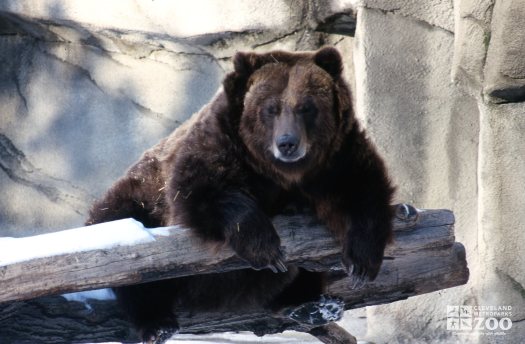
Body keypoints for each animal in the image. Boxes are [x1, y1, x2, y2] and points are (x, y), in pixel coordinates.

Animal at [86, 47, 392, 342]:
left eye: (306, 107)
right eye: (271, 108)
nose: (287, 143)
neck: (284, 173)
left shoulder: (337, 158)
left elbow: (363, 192)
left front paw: (362, 263)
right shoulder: (220, 142)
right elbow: (202, 190)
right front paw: (267, 249)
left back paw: (311, 305)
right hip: (140, 195)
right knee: (126, 241)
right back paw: (157, 324)